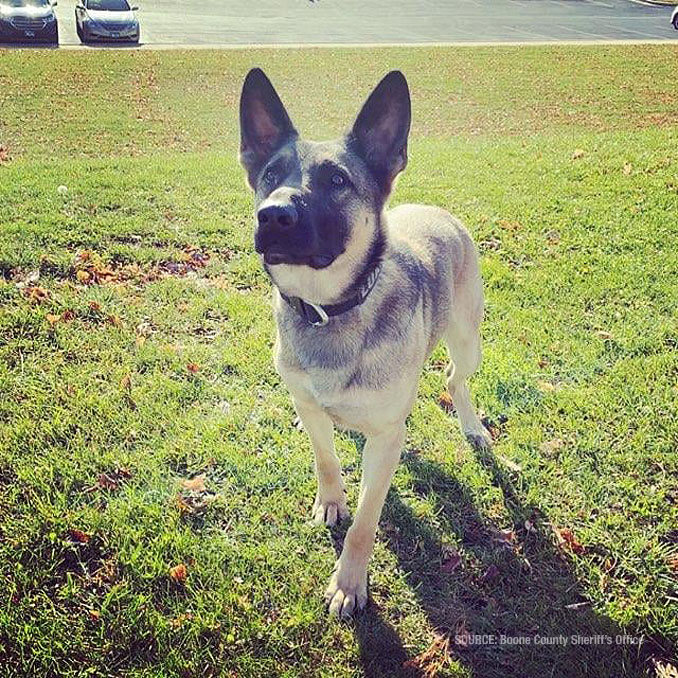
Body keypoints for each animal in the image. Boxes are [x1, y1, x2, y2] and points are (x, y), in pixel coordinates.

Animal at [240, 70, 494, 620]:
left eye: (338, 180)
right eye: (270, 174)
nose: (273, 215)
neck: (327, 311)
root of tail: (436, 210)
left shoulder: (385, 440)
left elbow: (364, 524)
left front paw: (349, 583)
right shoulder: (314, 403)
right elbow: (326, 458)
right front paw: (331, 499)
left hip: (468, 341)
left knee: (454, 379)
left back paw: (472, 425)